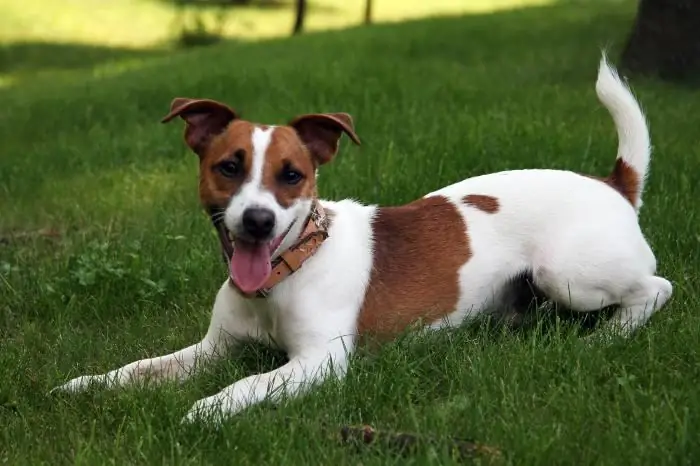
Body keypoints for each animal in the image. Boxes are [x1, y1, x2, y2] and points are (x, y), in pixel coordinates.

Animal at [50, 55, 672, 426]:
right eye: (228, 166)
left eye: (292, 175)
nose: (257, 221)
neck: (288, 269)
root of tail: (613, 184)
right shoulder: (213, 349)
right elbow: (140, 368)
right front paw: (87, 384)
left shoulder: (319, 363)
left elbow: (248, 384)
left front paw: (206, 409)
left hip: (565, 275)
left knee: (656, 288)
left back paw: (606, 336)